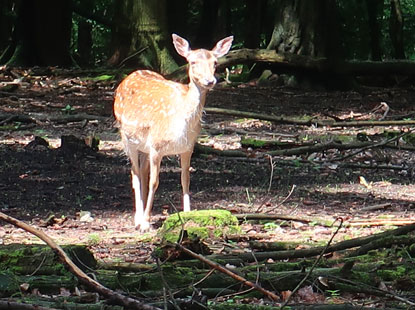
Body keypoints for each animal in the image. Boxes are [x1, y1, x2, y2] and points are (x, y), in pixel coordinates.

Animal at [114, 34, 234, 230]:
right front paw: (145, 223)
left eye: (215, 62)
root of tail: (128, 77)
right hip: (126, 137)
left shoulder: (188, 148)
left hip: (144, 147)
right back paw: (139, 219)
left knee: (142, 171)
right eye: (192, 62)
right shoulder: (157, 147)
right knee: (135, 173)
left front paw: (188, 215)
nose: (210, 81)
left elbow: (185, 179)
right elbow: (155, 182)